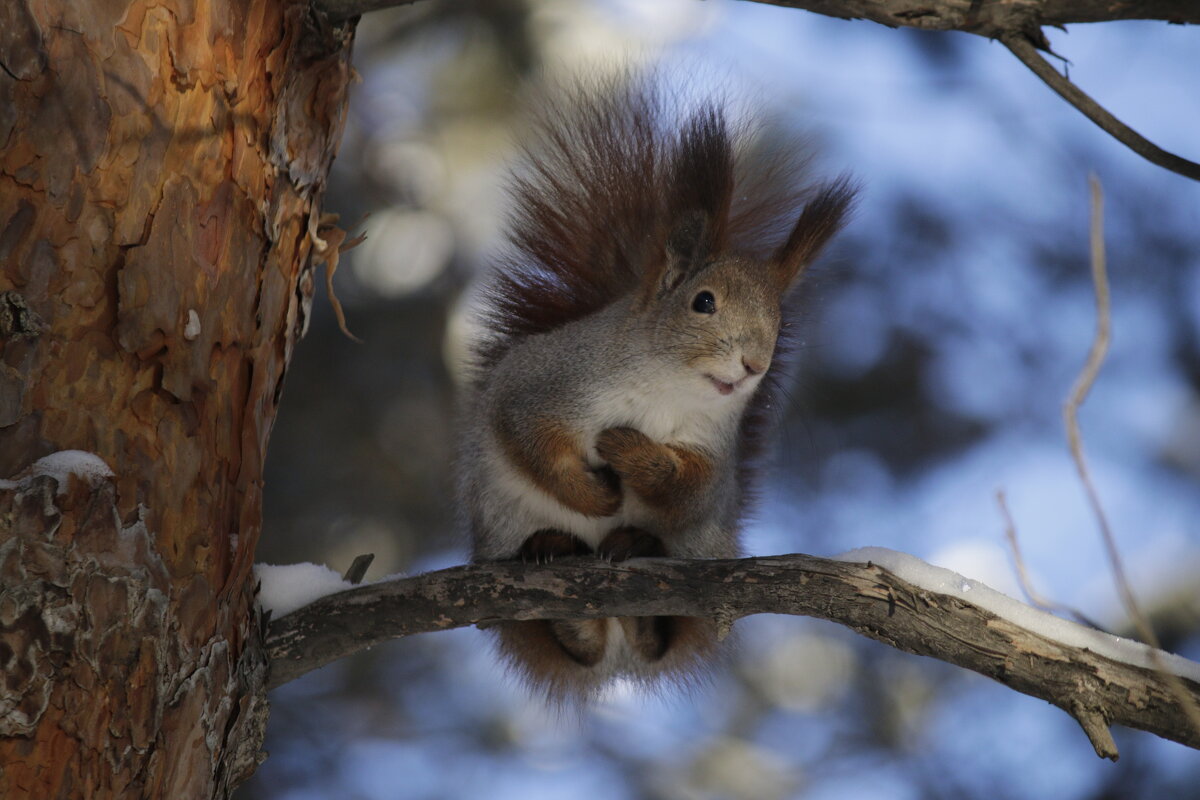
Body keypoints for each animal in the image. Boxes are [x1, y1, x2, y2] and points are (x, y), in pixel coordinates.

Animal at [453, 74, 859, 700]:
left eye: (780, 319)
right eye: (703, 302)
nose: (754, 363)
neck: (667, 389)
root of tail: (618, 652)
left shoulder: (711, 450)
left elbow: (687, 486)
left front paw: (628, 452)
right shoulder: (540, 388)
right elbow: (533, 444)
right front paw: (598, 497)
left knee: (655, 628)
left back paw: (634, 561)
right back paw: (553, 558)